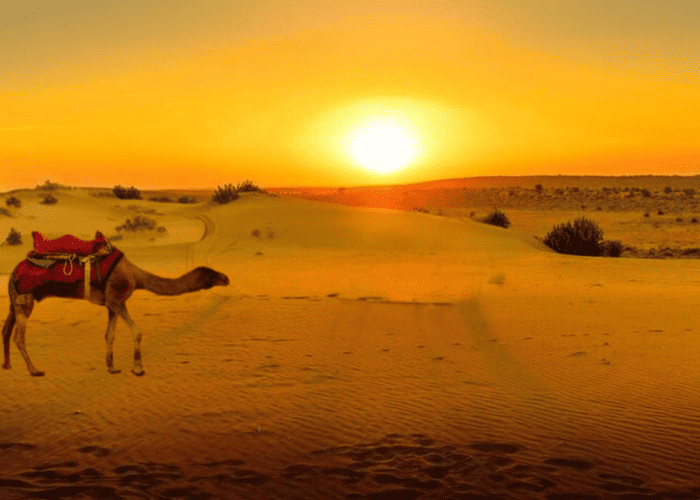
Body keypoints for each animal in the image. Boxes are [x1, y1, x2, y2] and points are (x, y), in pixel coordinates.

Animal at [1, 256, 228, 376]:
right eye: (210, 273)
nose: (226, 278)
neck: (136, 276)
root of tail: (14, 272)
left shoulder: (112, 304)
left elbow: (109, 335)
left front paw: (112, 367)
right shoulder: (117, 300)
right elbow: (137, 332)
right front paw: (138, 368)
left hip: (15, 302)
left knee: (5, 330)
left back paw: (7, 365)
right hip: (25, 300)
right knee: (18, 336)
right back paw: (34, 370)